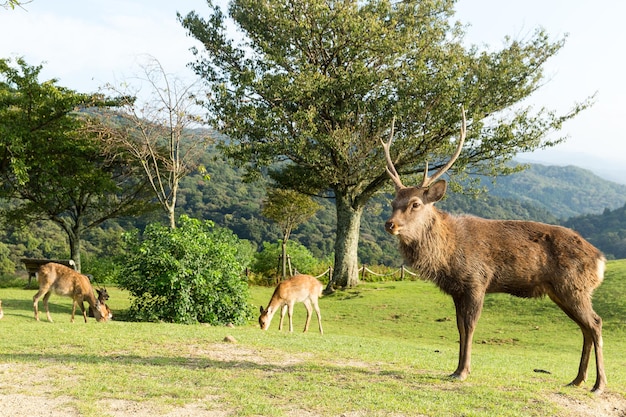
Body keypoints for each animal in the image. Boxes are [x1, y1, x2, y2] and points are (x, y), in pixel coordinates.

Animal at [380, 108, 604, 394]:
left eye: (416, 203)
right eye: (392, 201)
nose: (390, 224)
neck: (448, 254)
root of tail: (600, 260)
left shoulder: (477, 281)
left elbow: (470, 326)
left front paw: (463, 371)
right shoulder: (457, 289)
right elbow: (459, 327)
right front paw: (454, 369)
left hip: (574, 286)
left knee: (595, 324)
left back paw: (598, 384)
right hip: (562, 291)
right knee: (585, 328)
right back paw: (577, 380)